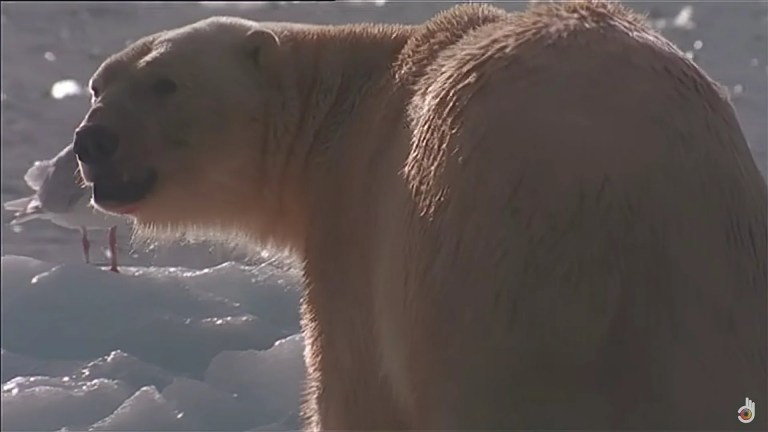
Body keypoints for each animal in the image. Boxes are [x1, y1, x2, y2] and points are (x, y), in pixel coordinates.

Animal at [71, 1, 766, 430]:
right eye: (99, 84)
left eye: (165, 84)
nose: (91, 140)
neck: (353, 102)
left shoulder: (359, 226)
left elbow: (355, 390)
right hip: (719, 299)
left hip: (491, 291)